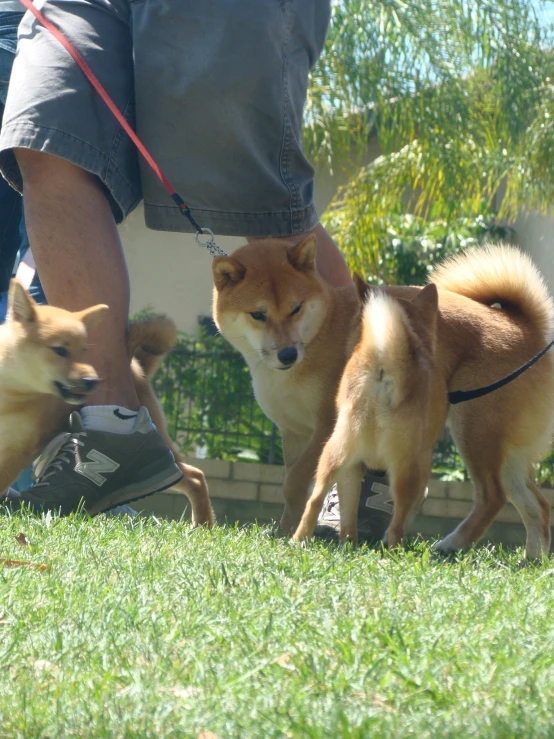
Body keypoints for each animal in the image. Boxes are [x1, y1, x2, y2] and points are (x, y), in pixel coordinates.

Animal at [0, 280, 212, 528]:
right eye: (60, 350)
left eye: (84, 351)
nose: (92, 380)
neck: (10, 394)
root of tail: (135, 366)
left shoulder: (17, 450)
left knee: (195, 476)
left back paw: (204, 525)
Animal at [210, 237, 358, 532]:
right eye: (258, 314)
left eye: (296, 308)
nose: (288, 354)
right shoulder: (294, 430)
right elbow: (292, 478)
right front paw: (286, 529)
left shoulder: (328, 424)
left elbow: (295, 481)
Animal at [292, 244, 552, 560]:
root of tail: (528, 329)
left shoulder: (353, 466)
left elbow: (349, 512)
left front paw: (349, 543)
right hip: (473, 448)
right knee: (516, 501)